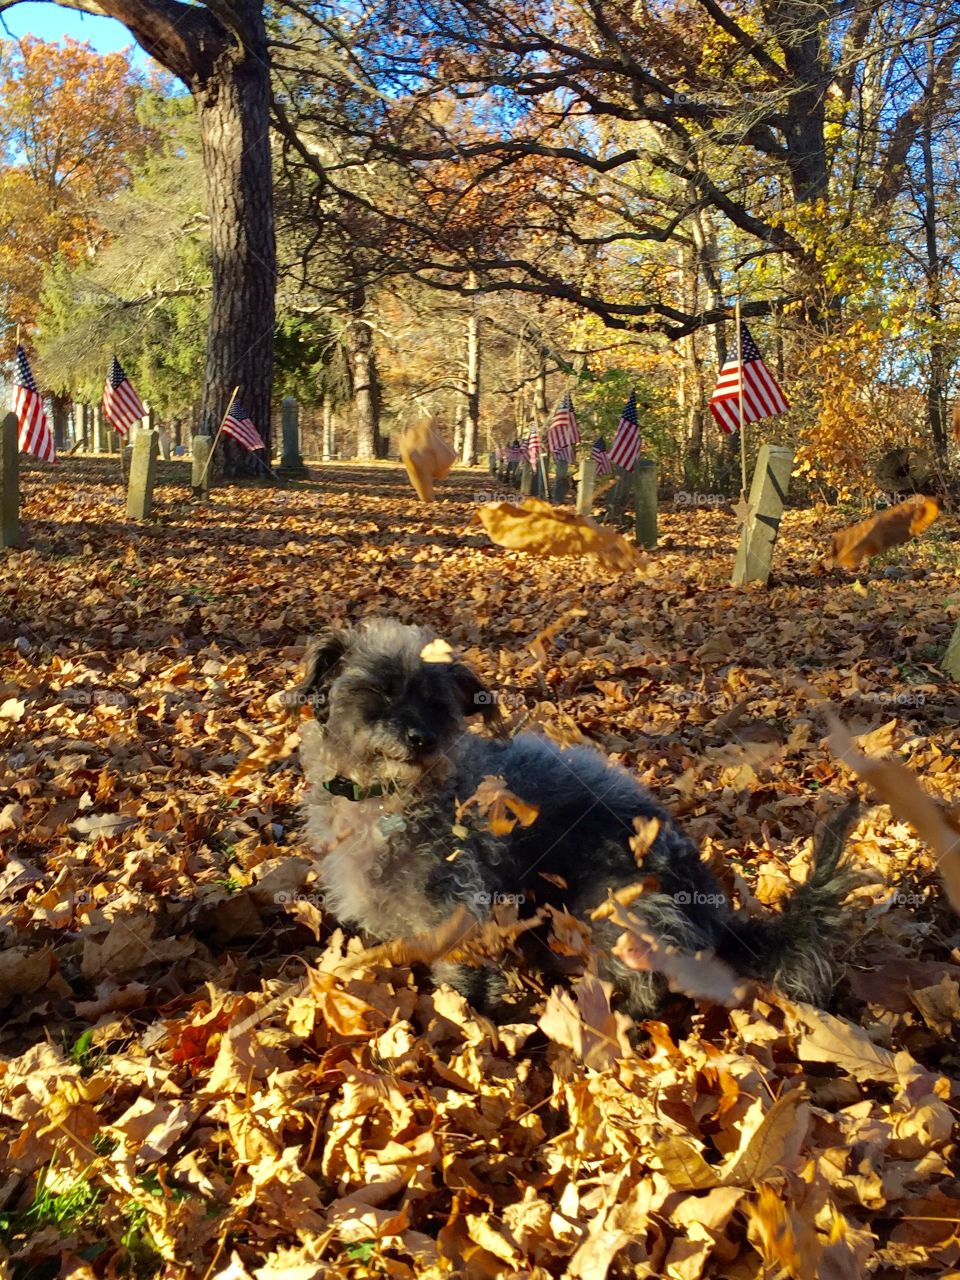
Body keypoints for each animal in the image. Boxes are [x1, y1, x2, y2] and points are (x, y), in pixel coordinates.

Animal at [289, 614, 860, 1013]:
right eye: (379, 692)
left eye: (436, 702)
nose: (420, 739)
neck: (386, 797)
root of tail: (715, 917)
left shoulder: (459, 904)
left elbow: (459, 973)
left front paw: (461, 1014)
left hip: (608, 907)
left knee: (650, 981)